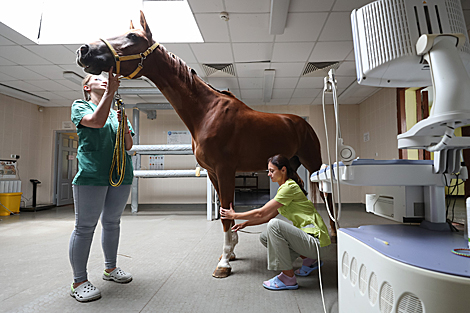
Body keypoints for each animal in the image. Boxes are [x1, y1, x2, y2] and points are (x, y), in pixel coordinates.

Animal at [77, 10, 334, 278]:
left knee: (327, 196)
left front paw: (225, 263)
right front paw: (230, 252)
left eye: (132, 36)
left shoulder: (225, 170)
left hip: (314, 162)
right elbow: (225, 211)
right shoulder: (212, 172)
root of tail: (300, 122)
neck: (206, 112)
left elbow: (227, 214)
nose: (84, 50)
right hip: (293, 165)